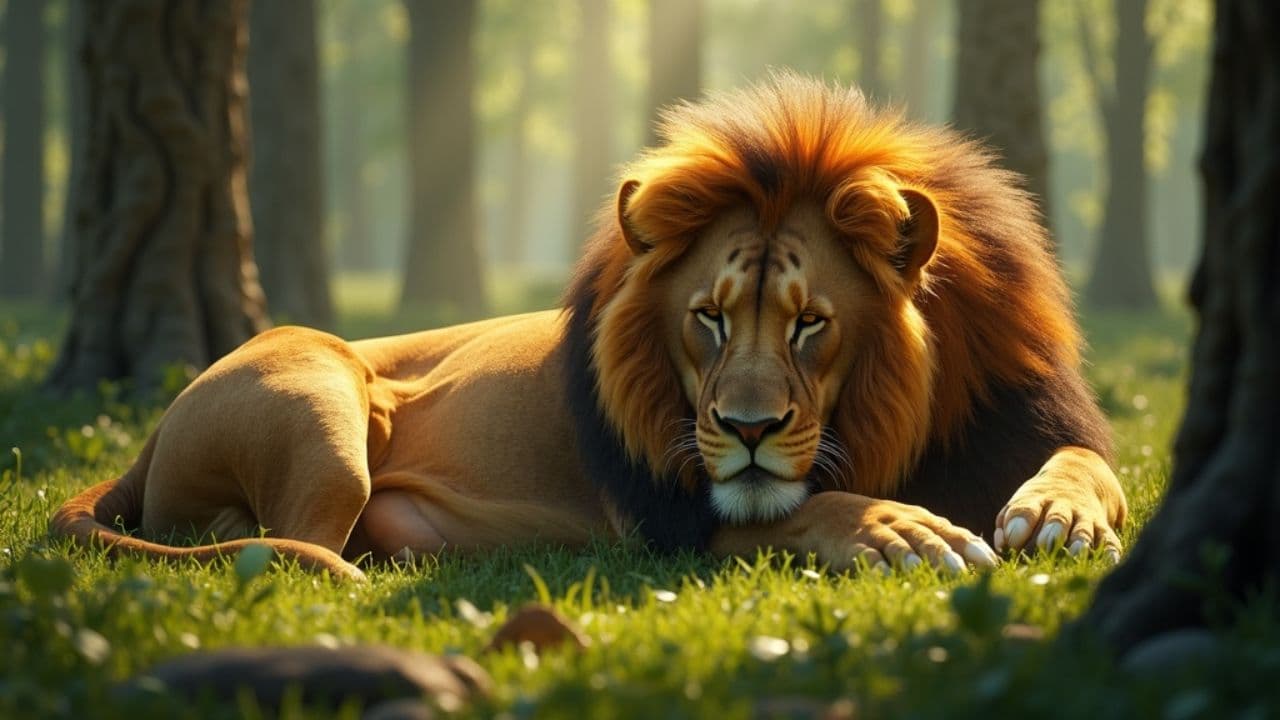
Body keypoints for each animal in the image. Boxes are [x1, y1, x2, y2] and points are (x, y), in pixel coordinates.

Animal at [52, 74, 1126, 581]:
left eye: (811, 324)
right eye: (707, 318)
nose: (745, 431)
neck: (904, 412)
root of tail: (149, 435)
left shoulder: (1026, 410)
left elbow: (1091, 462)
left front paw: (1057, 514)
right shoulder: (664, 515)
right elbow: (800, 508)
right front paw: (899, 527)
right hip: (317, 396)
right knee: (287, 547)